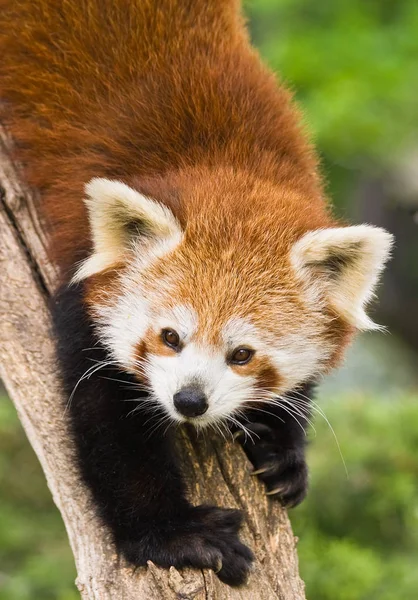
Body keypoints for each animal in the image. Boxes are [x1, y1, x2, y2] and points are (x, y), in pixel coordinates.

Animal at [0, 0, 394, 584]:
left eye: (243, 354)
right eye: (169, 337)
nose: (189, 400)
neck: (223, 161)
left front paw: (284, 448)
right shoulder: (82, 293)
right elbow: (108, 428)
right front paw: (178, 536)